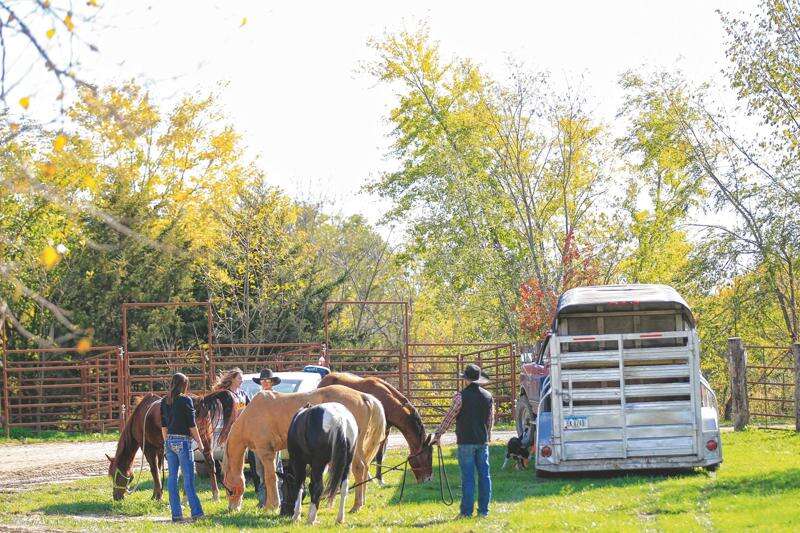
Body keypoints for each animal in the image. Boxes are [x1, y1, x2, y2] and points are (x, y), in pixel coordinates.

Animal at [105, 388, 234, 500]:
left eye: (115, 475)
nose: (116, 497)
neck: (139, 417)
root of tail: (200, 400)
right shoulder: (160, 449)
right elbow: (159, 469)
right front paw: (157, 493)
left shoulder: (148, 448)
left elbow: (154, 470)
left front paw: (158, 496)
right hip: (205, 440)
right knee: (210, 463)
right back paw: (215, 494)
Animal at [220, 384, 386, 512]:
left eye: (229, 489)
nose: (232, 508)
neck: (252, 415)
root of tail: (362, 396)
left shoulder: (266, 452)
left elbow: (270, 478)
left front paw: (271, 506)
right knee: (361, 468)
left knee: (359, 468)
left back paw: (356, 506)